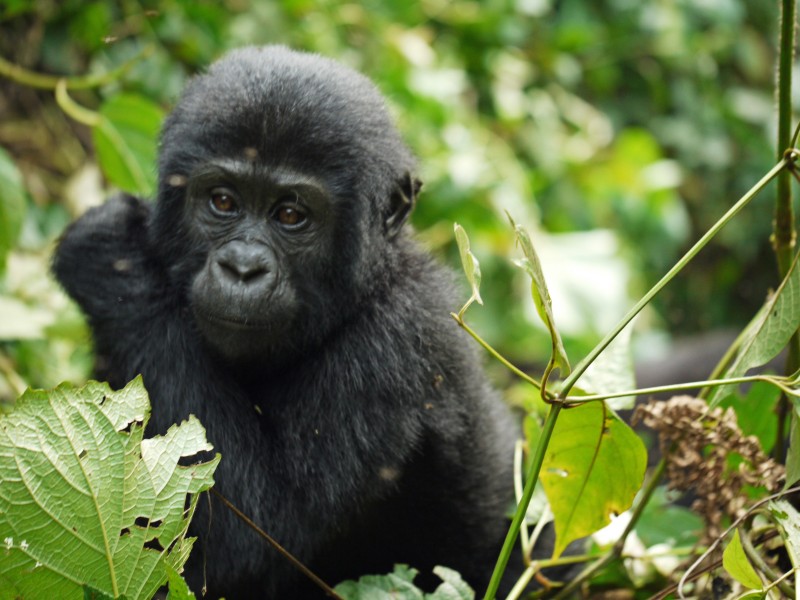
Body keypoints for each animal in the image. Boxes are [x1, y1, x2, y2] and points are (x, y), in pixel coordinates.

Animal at [54, 45, 520, 596]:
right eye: (223, 201)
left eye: (291, 215)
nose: (242, 268)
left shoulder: (400, 339)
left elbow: (249, 538)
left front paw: (113, 258)